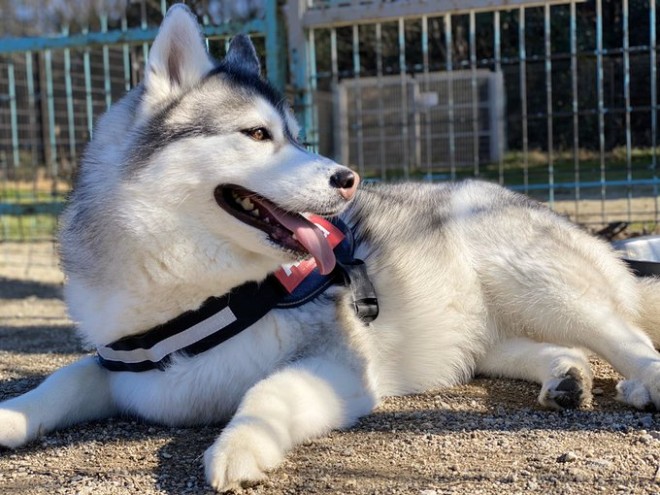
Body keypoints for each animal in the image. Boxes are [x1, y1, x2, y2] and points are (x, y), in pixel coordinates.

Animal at [1, 3, 660, 492]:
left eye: (296, 136)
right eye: (257, 133)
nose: (349, 178)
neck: (200, 293)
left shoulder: (338, 364)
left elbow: (266, 391)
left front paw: (240, 446)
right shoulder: (121, 363)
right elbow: (63, 380)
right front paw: (10, 417)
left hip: (534, 280)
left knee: (625, 335)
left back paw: (641, 380)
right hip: (484, 333)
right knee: (543, 346)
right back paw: (565, 374)